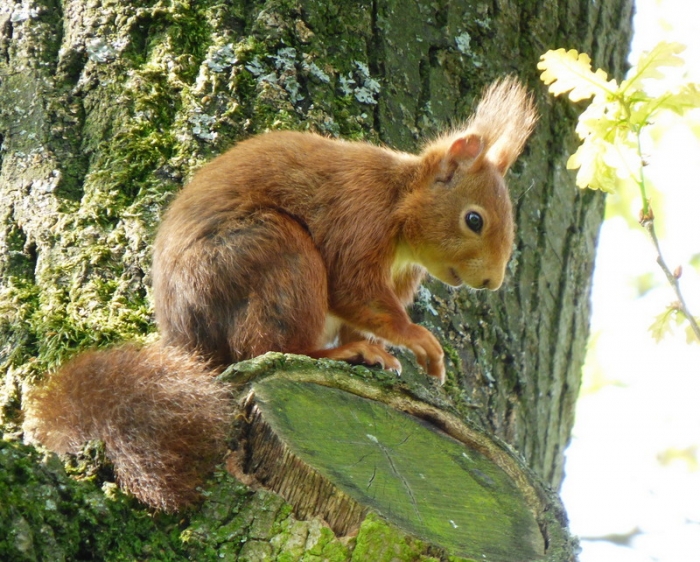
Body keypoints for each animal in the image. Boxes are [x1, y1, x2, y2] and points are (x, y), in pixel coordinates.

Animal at [22, 77, 537, 512]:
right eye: (474, 219)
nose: (492, 282)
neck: (398, 201)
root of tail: (187, 343)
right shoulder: (358, 214)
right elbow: (354, 289)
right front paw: (416, 342)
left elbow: (359, 314)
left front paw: (383, 349)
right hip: (273, 254)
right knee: (268, 346)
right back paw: (337, 354)